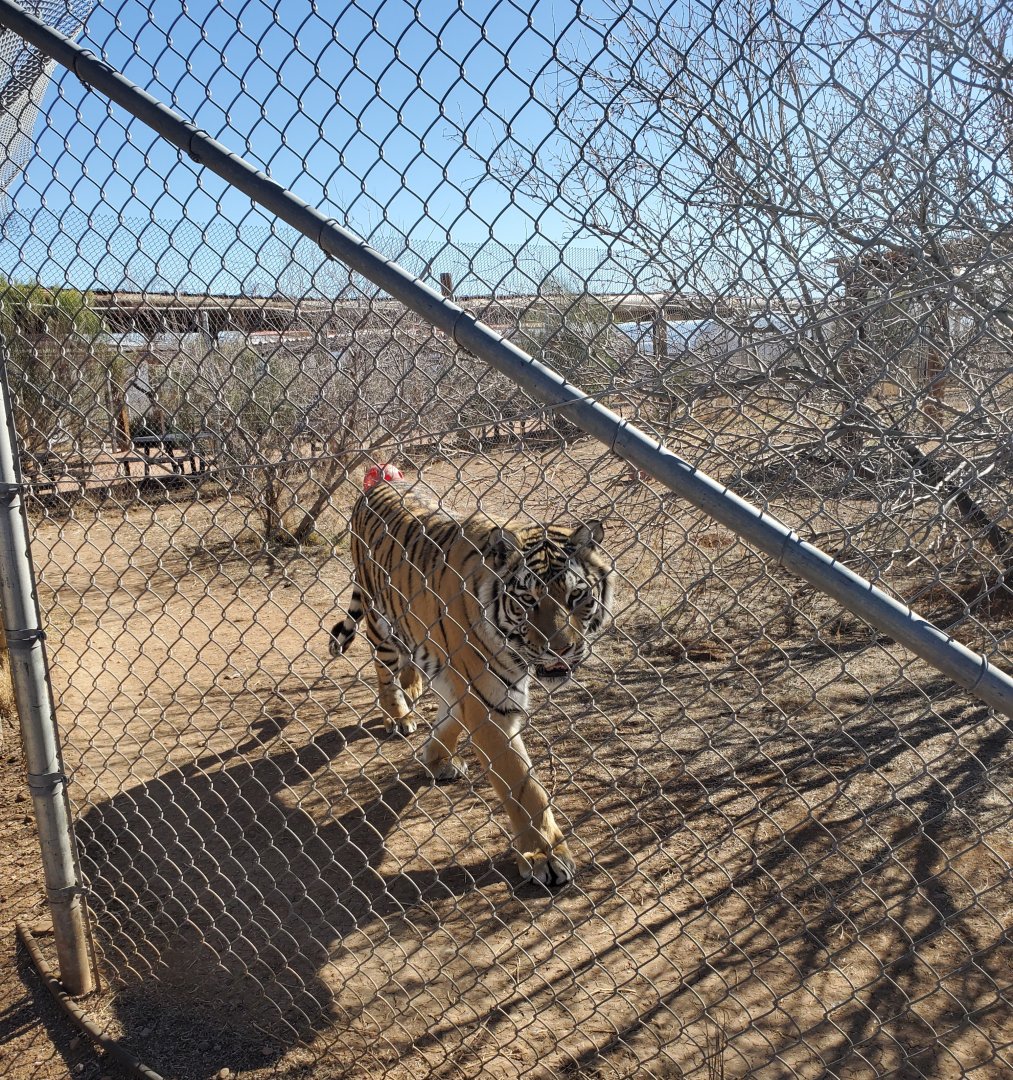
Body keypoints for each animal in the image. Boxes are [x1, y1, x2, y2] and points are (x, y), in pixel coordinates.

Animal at [327, 474, 615, 887]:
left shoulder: (466, 684)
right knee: (384, 670)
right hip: (379, 618)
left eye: (577, 596)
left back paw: (413, 687)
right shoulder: (488, 703)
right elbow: (523, 787)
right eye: (528, 600)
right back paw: (398, 715)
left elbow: (450, 716)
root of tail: (378, 480)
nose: (561, 649)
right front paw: (544, 856)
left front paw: (436, 759)